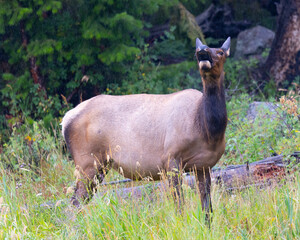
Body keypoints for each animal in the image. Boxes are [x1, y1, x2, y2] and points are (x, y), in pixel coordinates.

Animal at [60, 37, 230, 218]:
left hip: (99, 166)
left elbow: (207, 208)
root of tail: (65, 120)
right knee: (74, 202)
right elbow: (179, 205)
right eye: (196, 51)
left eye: (220, 52)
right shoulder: (171, 158)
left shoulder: (204, 165)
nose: (202, 50)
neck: (207, 130)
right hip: (87, 162)